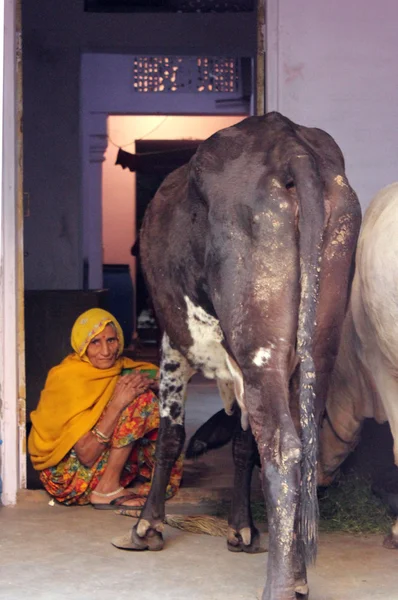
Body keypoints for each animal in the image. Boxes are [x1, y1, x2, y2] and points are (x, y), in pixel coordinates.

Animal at [126, 113, 360, 600]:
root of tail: (289, 143)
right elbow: (240, 444)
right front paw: (241, 528)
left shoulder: (173, 341)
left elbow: (171, 435)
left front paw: (147, 525)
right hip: (317, 345)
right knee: (300, 445)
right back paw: (298, 576)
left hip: (257, 348)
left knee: (283, 447)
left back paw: (281, 585)